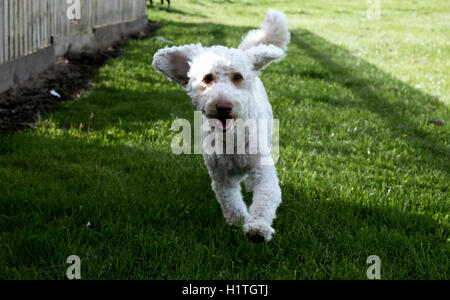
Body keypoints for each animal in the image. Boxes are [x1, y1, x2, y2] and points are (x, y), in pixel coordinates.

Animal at [153, 9, 290, 243]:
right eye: (207, 78)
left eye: (237, 77)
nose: (223, 106)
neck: (231, 139)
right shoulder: (221, 177)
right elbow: (230, 201)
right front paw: (238, 221)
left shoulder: (262, 170)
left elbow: (265, 196)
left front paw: (257, 228)